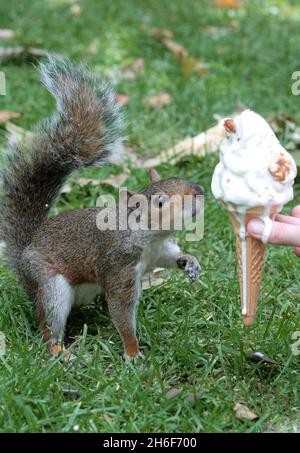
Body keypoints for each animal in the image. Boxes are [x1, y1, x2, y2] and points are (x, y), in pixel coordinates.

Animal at [0, 56, 203, 358]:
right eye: (160, 202)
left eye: (180, 178)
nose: (199, 191)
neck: (149, 236)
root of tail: (24, 259)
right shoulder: (119, 265)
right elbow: (121, 310)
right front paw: (132, 352)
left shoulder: (159, 251)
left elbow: (171, 258)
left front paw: (190, 262)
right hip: (51, 285)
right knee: (49, 327)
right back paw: (61, 352)